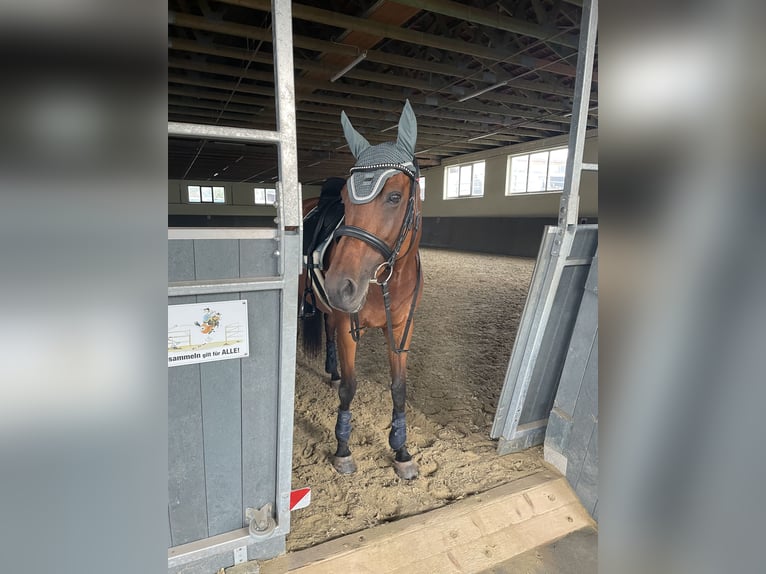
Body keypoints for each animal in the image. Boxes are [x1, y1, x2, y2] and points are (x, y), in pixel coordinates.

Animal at [298, 100, 424, 482]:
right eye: (345, 199)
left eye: (394, 196)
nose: (340, 284)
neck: (386, 281)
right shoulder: (347, 327)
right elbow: (350, 389)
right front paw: (343, 449)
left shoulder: (401, 330)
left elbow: (398, 389)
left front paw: (401, 451)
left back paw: (332, 368)